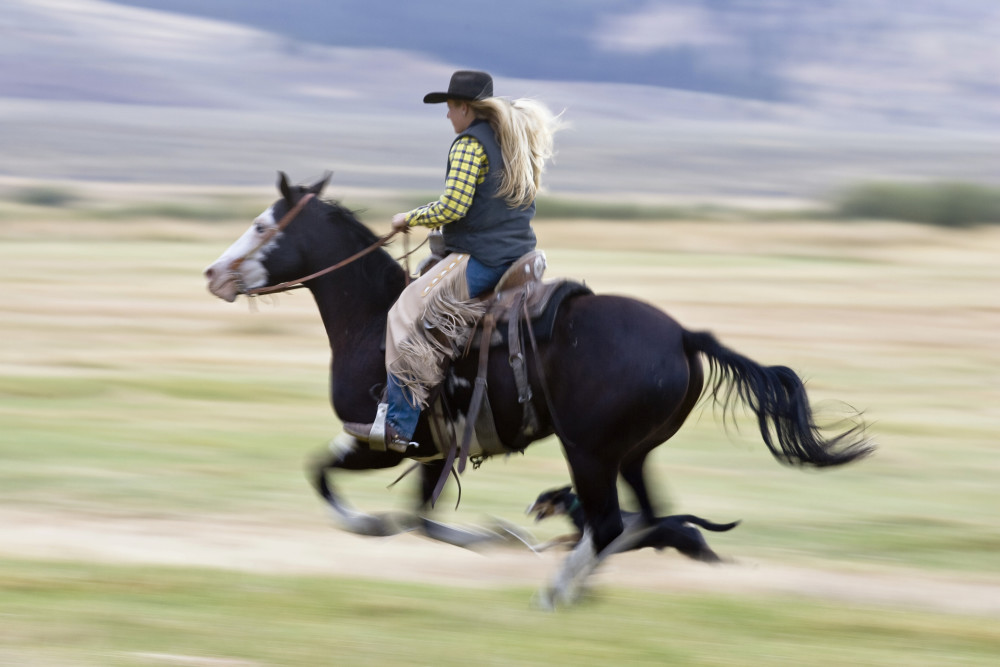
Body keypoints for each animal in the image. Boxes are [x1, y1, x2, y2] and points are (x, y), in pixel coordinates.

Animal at [528, 486, 740, 564]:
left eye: (540, 498)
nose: (527, 507)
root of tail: (680, 517)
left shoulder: (582, 539)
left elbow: (563, 542)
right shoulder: (579, 537)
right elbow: (559, 539)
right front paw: (540, 547)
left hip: (694, 548)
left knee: (720, 560)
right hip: (692, 550)